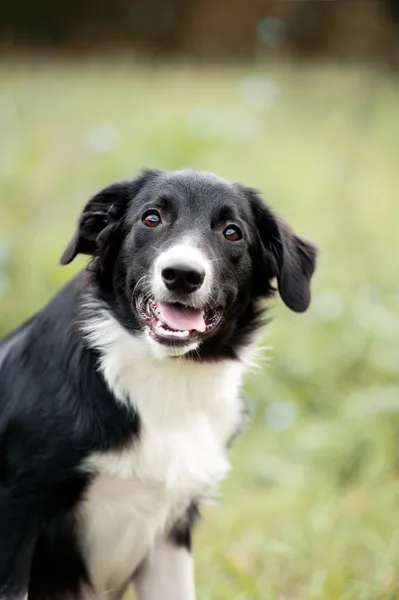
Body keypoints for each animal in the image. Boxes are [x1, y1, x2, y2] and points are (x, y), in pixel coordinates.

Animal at [0, 169, 318, 600]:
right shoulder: (18, 510)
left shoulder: (172, 528)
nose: (182, 275)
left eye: (232, 232)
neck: (167, 376)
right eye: (152, 218)